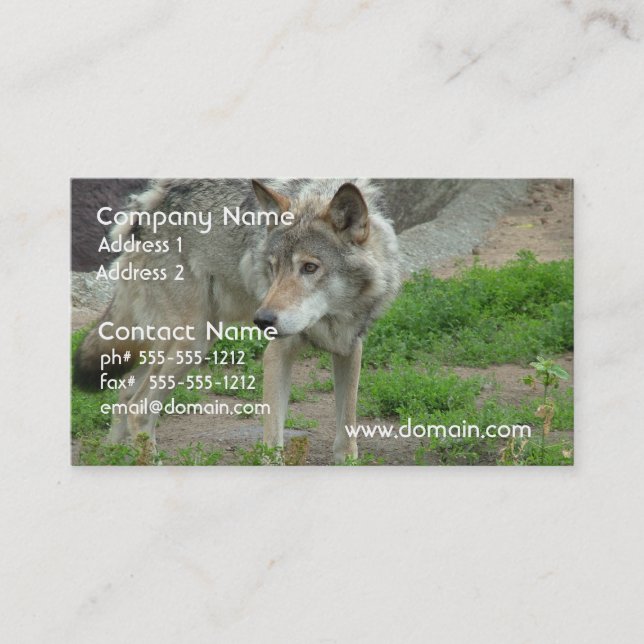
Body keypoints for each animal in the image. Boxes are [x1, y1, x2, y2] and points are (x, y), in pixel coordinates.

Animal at [73, 179, 401, 463]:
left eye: (310, 267)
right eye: (272, 267)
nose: (262, 320)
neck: (334, 315)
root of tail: (144, 208)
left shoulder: (350, 346)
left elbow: (347, 429)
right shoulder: (277, 353)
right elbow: (273, 440)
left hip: (186, 343)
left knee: (125, 392)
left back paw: (113, 457)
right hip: (191, 344)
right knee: (139, 408)